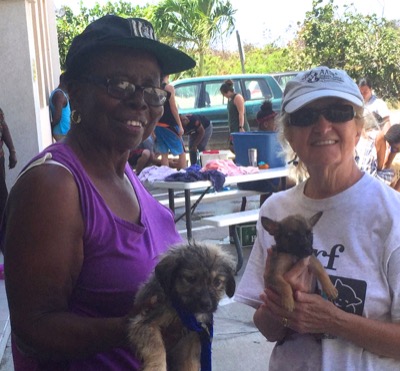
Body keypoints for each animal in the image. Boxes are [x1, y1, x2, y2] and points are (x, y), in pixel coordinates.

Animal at [128, 243, 236, 371]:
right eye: (191, 279)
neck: (183, 309)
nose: (206, 305)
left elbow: (189, 362)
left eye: (217, 282)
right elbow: (157, 348)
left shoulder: (192, 337)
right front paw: (157, 367)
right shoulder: (145, 321)